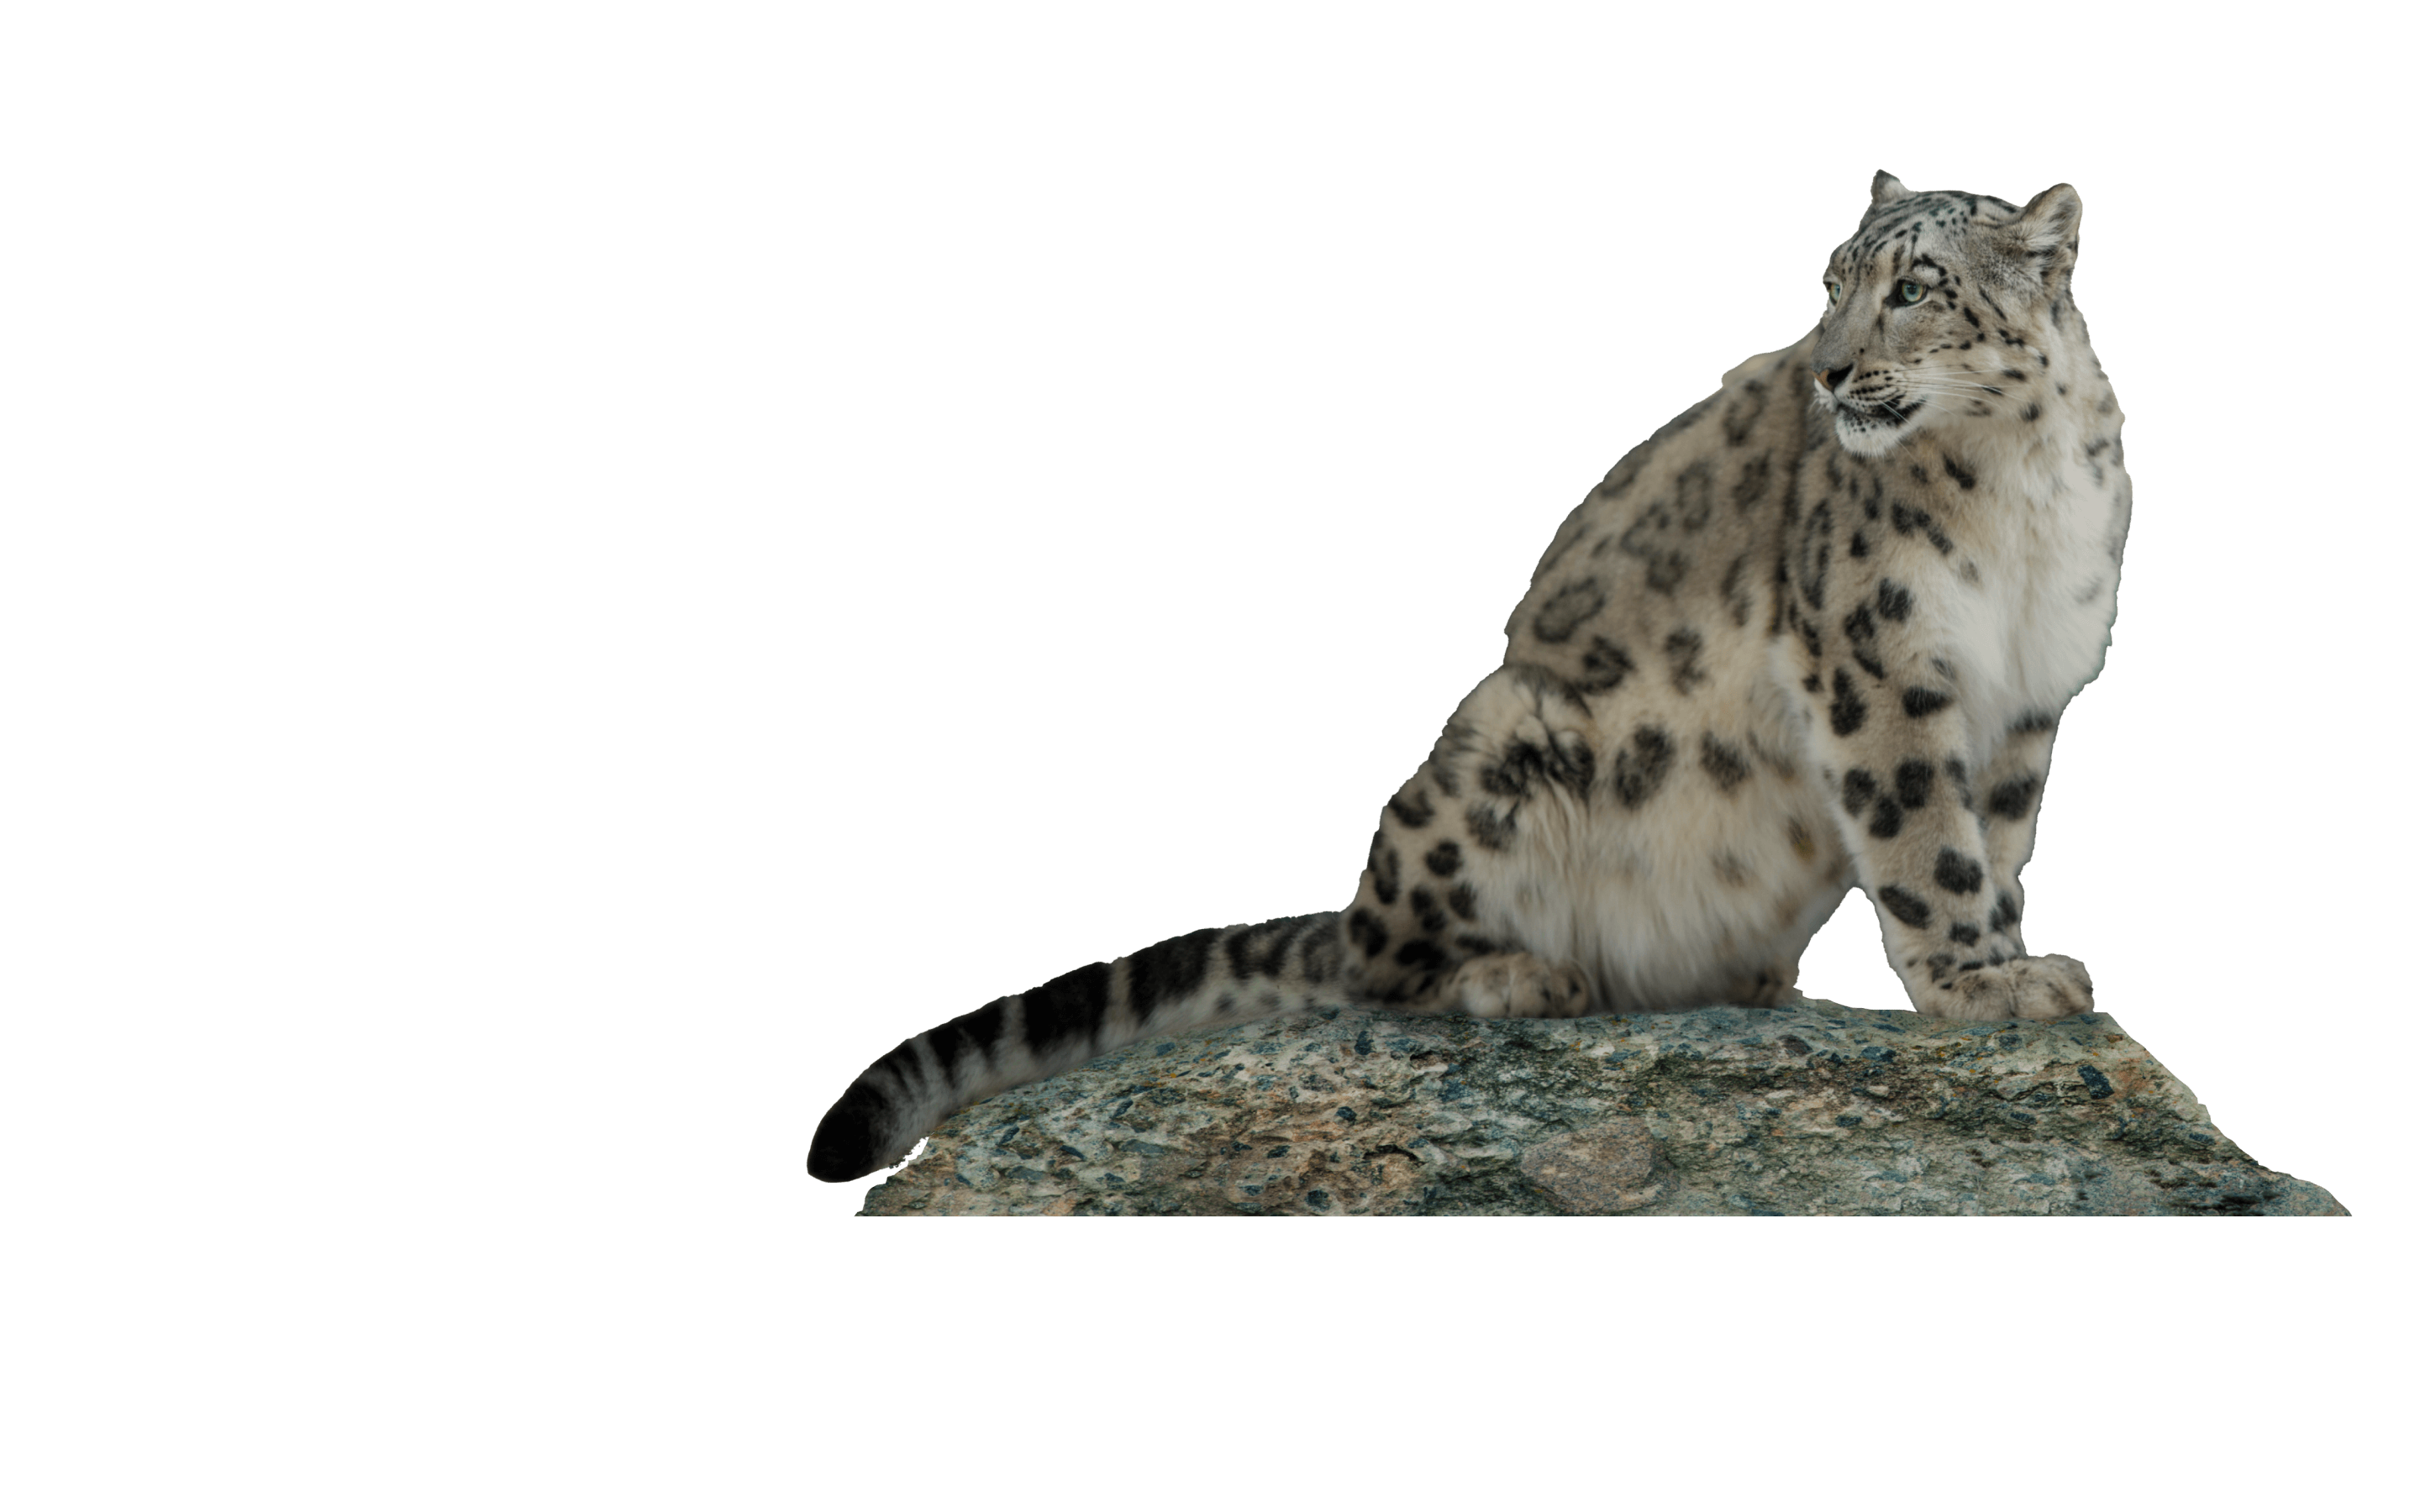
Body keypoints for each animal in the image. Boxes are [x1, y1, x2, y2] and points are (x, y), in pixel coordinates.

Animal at [818, 174, 2139, 1180]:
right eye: (1828, 285)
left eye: (1913, 287)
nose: (1824, 370)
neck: (2022, 494)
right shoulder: (1873, 655)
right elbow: (1926, 840)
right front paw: (1979, 980)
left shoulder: (2027, 698)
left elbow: (1995, 839)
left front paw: (2014, 963)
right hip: (1499, 751)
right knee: (1376, 967)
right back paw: (1526, 975)